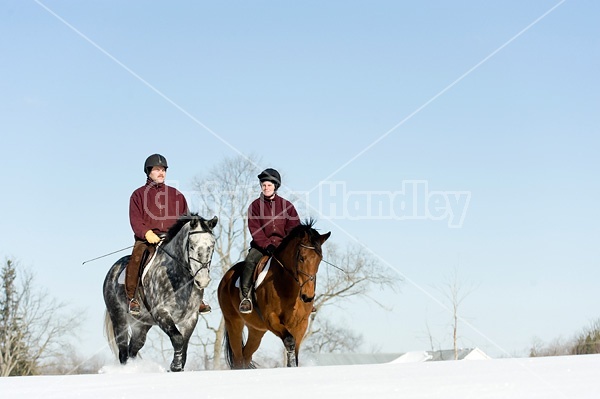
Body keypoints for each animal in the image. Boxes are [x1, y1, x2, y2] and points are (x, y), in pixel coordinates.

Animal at [102, 214, 217, 374]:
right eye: (192, 246)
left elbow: (184, 344)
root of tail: (113, 270)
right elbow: (178, 339)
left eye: (212, 246)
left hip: (142, 324)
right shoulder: (161, 313)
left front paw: (178, 367)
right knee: (123, 351)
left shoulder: (191, 318)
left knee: (133, 348)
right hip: (119, 318)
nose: (203, 280)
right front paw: (175, 367)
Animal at [217, 220, 330, 370]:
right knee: (238, 358)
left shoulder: (301, 324)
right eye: (301, 258)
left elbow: (295, 352)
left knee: (246, 355)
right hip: (234, 323)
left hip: (256, 330)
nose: (308, 297)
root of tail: (227, 276)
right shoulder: (272, 319)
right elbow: (289, 341)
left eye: (320, 259)